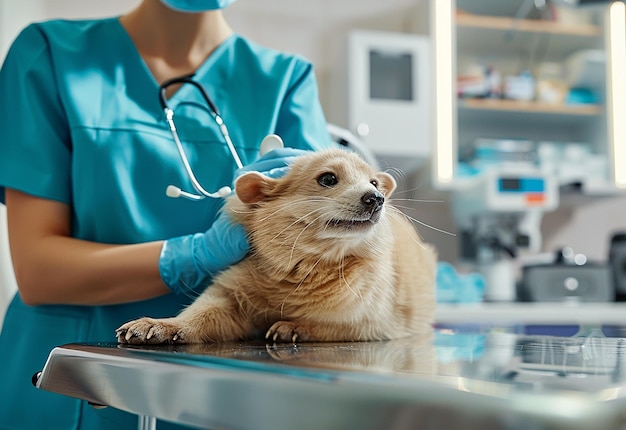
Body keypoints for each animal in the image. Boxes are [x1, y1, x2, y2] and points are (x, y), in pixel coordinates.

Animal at [117, 149, 434, 344]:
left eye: (374, 183)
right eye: (328, 178)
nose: (376, 199)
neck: (304, 267)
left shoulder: (373, 321)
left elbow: (336, 325)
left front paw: (295, 326)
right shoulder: (229, 292)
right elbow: (199, 313)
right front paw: (161, 324)